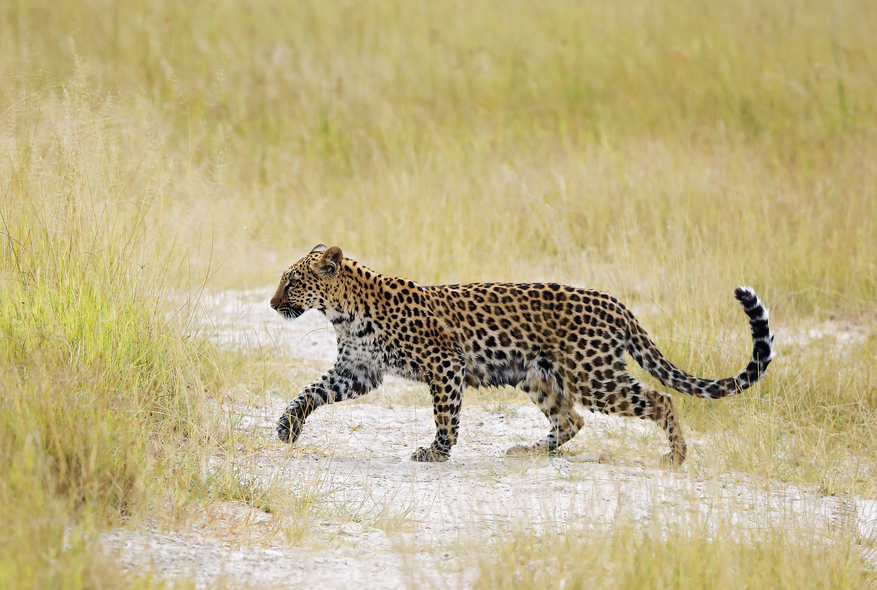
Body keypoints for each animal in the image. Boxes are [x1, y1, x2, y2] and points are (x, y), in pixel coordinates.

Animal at [268, 244, 772, 468]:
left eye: (291, 281)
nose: (272, 304)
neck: (343, 311)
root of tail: (615, 303)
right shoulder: (359, 369)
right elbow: (311, 391)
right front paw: (287, 426)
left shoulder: (444, 363)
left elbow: (445, 413)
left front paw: (437, 451)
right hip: (539, 375)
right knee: (571, 420)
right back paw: (528, 450)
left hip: (593, 376)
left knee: (660, 399)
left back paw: (676, 455)